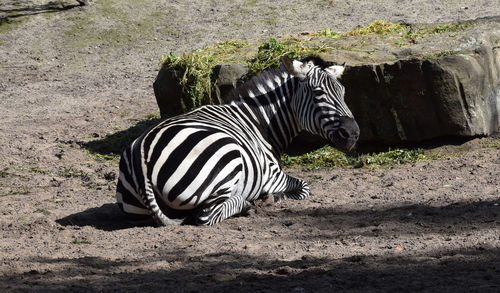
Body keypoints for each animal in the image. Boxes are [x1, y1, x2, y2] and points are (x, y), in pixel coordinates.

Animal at [116, 55, 360, 226]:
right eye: (318, 93)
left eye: (343, 92)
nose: (353, 133)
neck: (258, 121)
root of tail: (142, 156)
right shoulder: (272, 176)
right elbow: (304, 187)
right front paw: (273, 198)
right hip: (229, 156)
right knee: (206, 215)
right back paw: (247, 204)